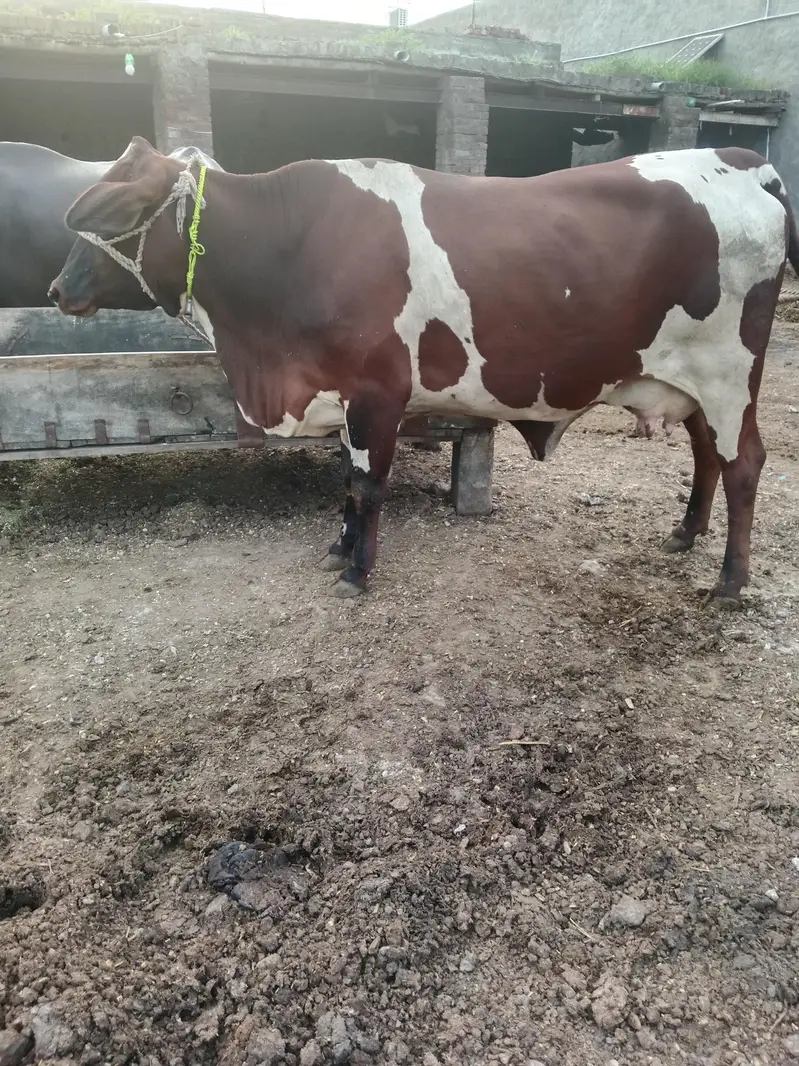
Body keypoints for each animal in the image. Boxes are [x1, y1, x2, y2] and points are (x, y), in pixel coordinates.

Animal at [49, 136, 797, 604]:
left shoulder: (378, 390)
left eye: (115, 210)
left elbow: (368, 484)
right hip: (687, 380)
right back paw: (684, 534)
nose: (58, 288)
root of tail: (743, 160)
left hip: (729, 374)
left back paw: (731, 581)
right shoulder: (341, 392)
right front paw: (338, 548)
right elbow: (346, 482)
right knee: (706, 455)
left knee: (744, 464)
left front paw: (358, 572)